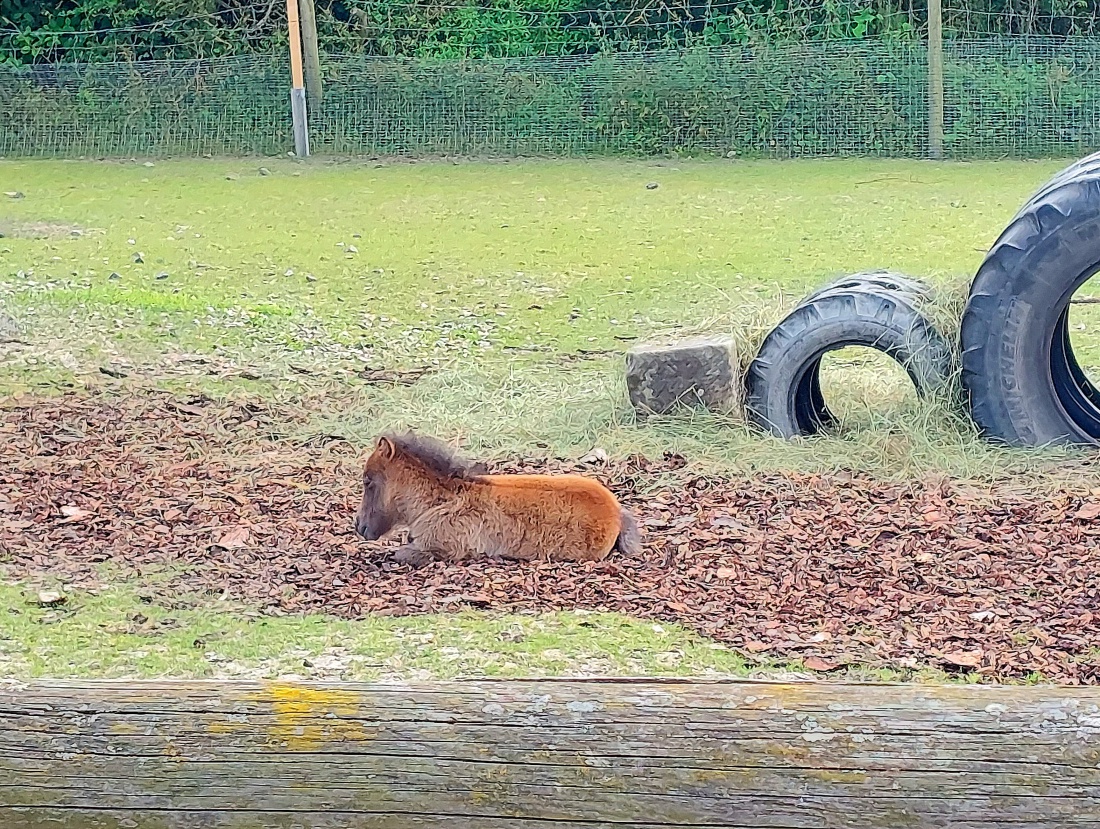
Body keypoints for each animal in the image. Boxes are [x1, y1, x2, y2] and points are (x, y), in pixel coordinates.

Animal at [352, 428, 642, 567]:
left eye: (368, 481)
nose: (359, 526)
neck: (443, 499)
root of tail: (617, 512)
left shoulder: (443, 549)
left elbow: (400, 554)